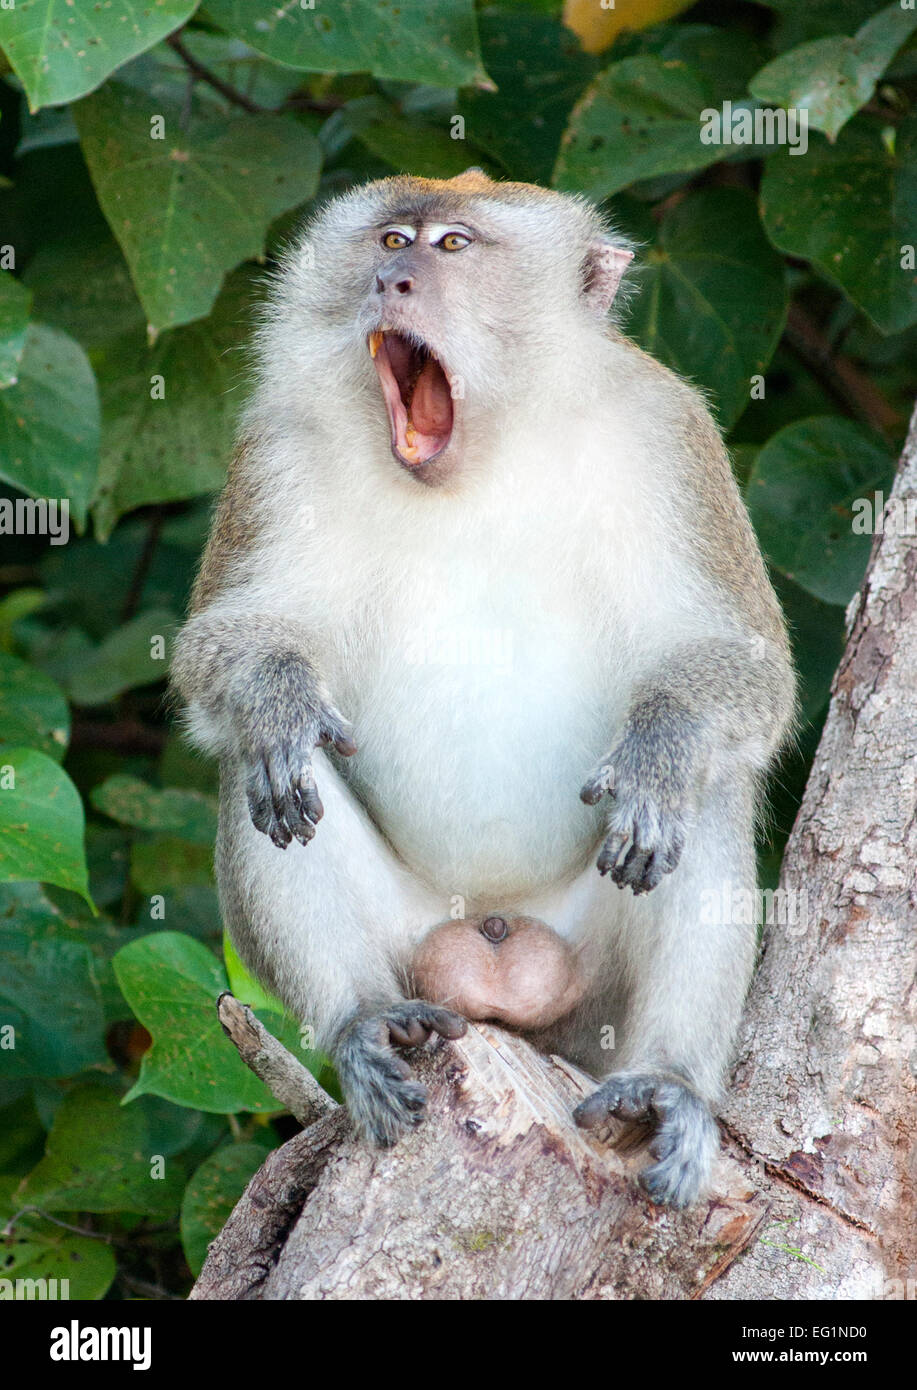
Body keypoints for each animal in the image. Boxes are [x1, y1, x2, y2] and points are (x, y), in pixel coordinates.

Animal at [171, 169, 796, 1208]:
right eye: (391, 237)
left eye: (454, 246)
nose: (393, 279)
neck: (483, 456)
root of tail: (497, 956)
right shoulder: (275, 447)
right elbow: (225, 648)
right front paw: (274, 697)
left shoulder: (670, 433)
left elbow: (744, 666)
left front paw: (663, 745)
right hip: (415, 948)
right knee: (264, 775)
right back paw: (362, 1021)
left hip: (592, 990)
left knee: (702, 791)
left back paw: (667, 1081)